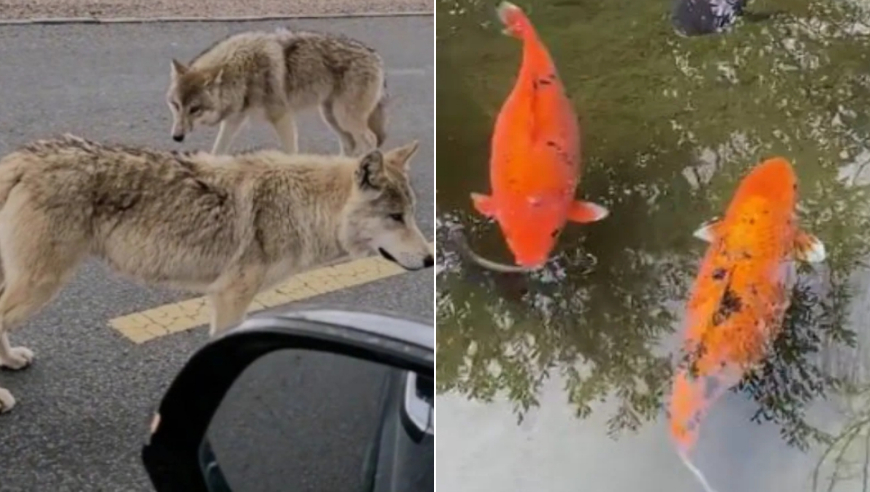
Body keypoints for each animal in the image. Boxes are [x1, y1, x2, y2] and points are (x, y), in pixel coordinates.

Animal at [0, 134, 432, 412]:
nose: (431, 259)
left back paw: (10, 362)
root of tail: (24, 157)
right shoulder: (230, 296)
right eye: (396, 217)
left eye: (410, 214)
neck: (299, 205)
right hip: (41, 285)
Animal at [166, 26, 388, 156]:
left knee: (370, 141)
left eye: (194, 109)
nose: (176, 137)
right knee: (351, 145)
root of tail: (377, 56)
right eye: (176, 105)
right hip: (332, 118)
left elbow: (291, 153)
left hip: (344, 118)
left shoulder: (282, 116)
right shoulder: (234, 120)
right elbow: (217, 152)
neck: (243, 71)